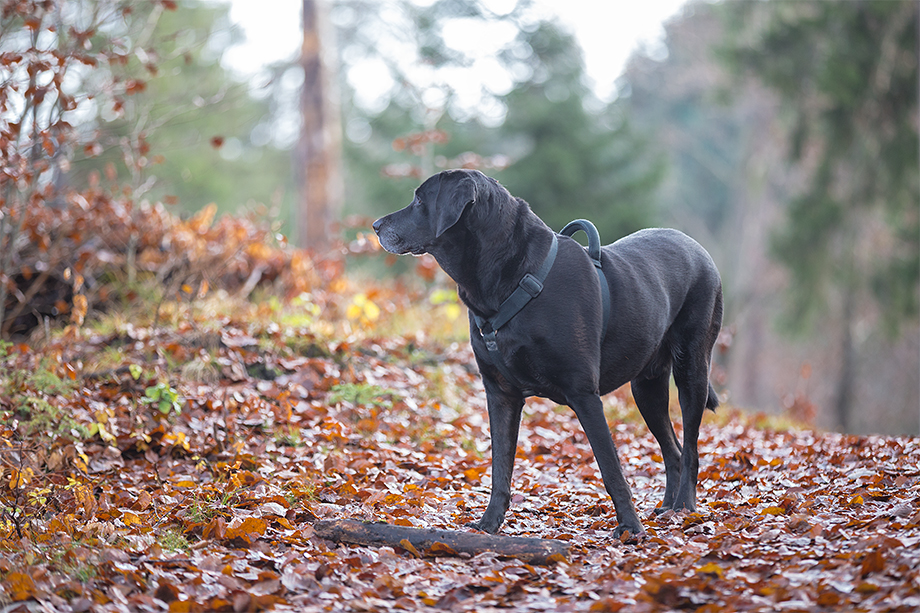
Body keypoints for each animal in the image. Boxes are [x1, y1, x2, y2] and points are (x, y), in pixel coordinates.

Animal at [370, 169, 724, 536]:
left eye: (419, 199)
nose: (376, 225)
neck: (510, 278)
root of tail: (699, 250)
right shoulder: (500, 394)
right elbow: (500, 468)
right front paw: (489, 524)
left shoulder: (584, 394)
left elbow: (611, 468)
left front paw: (630, 527)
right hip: (646, 387)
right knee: (673, 450)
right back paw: (668, 507)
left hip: (692, 370)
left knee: (691, 449)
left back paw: (684, 508)